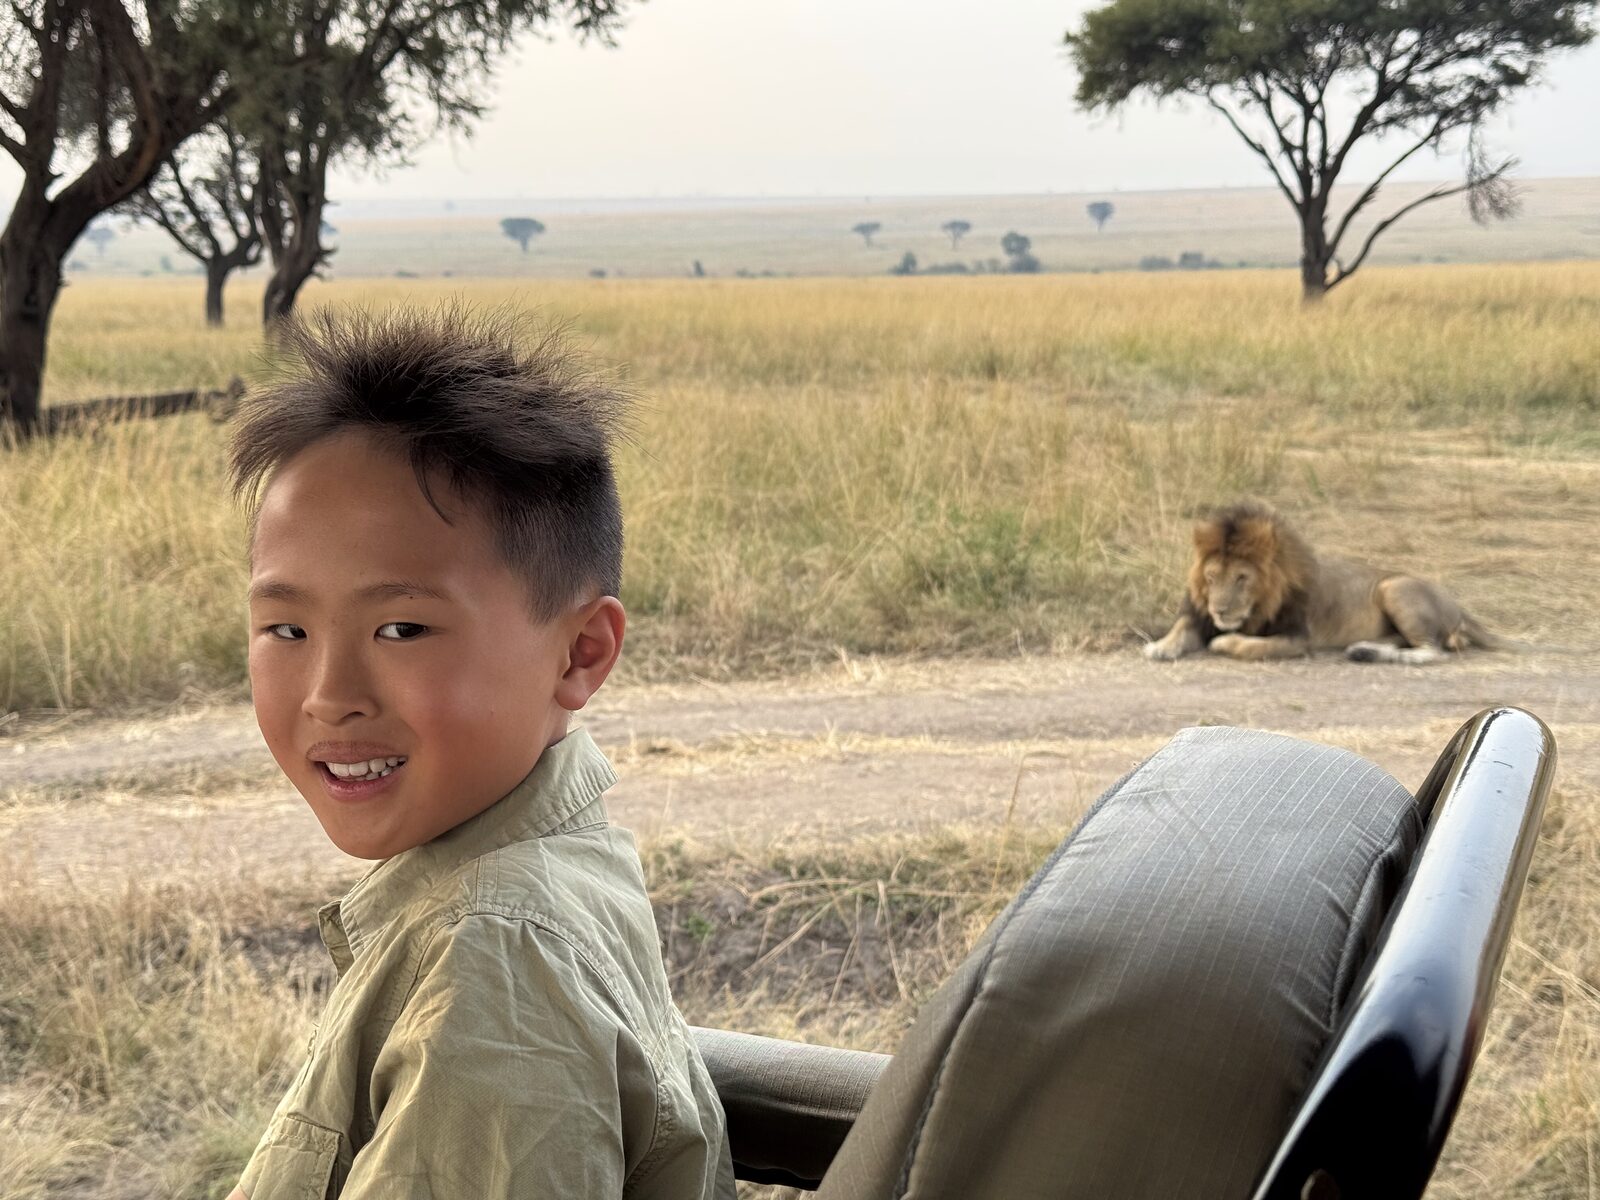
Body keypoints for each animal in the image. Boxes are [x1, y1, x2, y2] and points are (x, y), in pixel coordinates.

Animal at [1143, 501, 1511, 665]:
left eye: (1242, 578)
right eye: (1211, 577)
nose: (1220, 610)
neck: (1258, 606)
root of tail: (1459, 607)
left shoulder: (1297, 638)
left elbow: (1253, 646)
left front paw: (1224, 642)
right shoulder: (1199, 616)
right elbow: (1181, 628)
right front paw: (1160, 646)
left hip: (1394, 588)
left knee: (1434, 651)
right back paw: (1364, 651)